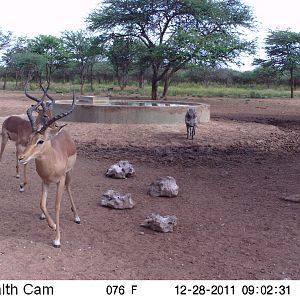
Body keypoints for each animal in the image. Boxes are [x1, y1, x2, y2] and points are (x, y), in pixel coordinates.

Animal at [18, 92, 80, 247]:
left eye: (40, 141)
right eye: (30, 137)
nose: (21, 158)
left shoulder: (60, 180)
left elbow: (57, 205)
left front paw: (57, 238)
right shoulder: (44, 181)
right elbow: (42, 203)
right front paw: (52, 225)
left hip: (69, 173)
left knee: (69, 188)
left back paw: (76, 217)